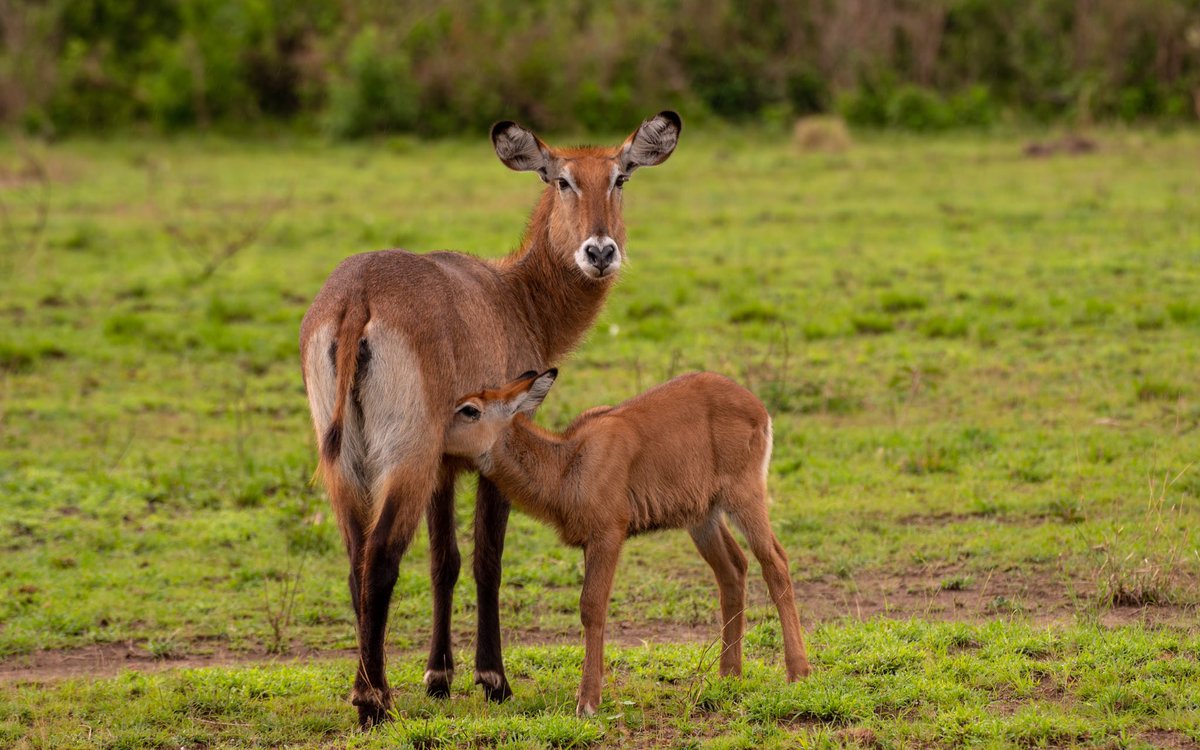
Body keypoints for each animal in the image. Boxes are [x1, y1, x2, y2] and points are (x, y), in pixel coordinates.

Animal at [298, 111, 681, 724]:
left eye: (620, 177)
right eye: (562, 180)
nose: (600, 252)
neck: (514, 295)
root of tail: (359, 295)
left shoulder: (445, 466)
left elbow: (445, 561)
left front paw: (438, 675)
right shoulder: (487, 452)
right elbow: (487, 560)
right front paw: (492, 677)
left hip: (346, 466)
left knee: (357, 561)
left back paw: (374, 688)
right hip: (405, 458)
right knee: (380, 559)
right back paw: (373, 700)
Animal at [444, 369, 816, 715]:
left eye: (470, 409)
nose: (436, 439)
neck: (568, 464)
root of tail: (757, 407)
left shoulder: (608, 534)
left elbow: (592, 606)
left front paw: (588, 701)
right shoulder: (591, 543)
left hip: (744, 496)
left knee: (775, 561)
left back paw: (798, 671)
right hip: (703, 517)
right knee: (733, 569)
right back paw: (729, 675)